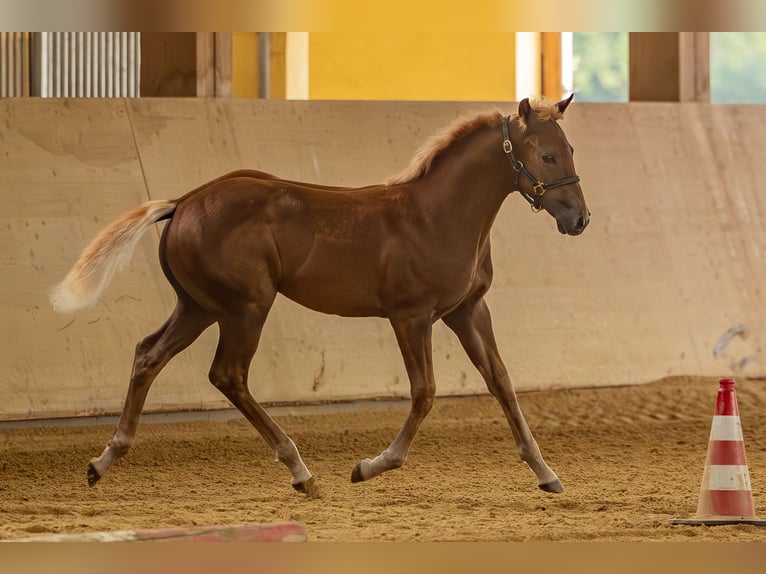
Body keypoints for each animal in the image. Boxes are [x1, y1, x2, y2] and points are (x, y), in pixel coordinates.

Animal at [50, 95, 589, 496]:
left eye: (570, 149)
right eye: (546, 155)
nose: (578, 218)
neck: (438, 215)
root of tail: (183, 202)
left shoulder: (468, 311)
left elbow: (501, 382)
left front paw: (546, 473)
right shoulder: (411, 316)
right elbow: (424, 392)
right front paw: (371, 466)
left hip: (199, 306)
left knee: (149, 355)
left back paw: (104, 461)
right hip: (245, 308)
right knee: (228, 375)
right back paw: (300, 471)